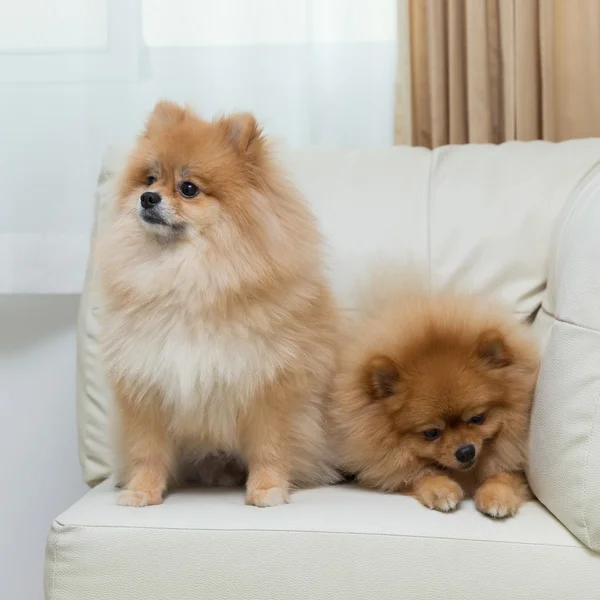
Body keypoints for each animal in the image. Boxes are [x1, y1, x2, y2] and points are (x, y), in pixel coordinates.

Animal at [95, 102, 338, 506]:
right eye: (149, 179)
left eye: (189, 189)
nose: (148, 198)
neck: (188, 276)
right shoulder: (146, 384)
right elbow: (147, 450)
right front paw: (142, 490)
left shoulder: (270, 385)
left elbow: (270, 446)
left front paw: (267, 488)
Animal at [330, 276, 540, 516]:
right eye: (431, 433)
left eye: (478, 418)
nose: (465, 451)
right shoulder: (391, 468)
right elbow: (419, 474)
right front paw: (440, 489)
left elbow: (504, 474)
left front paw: (498, 495)